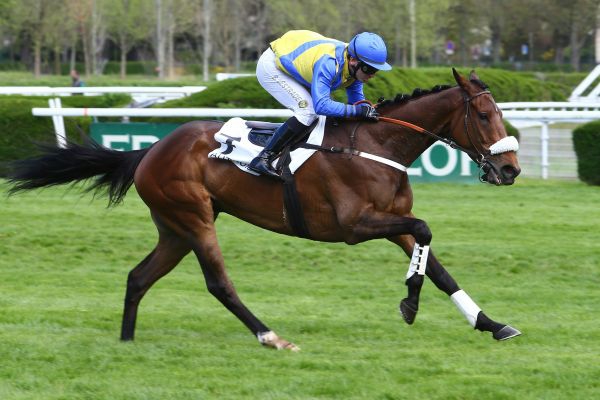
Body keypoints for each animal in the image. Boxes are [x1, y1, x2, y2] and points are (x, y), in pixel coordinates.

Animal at [5, 69, 520, 350]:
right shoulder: (356, 225)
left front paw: (491, 324)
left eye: (500, 113)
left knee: (138, 277)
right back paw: (271, 337)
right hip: (193, 218)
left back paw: (127, 342)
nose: (511, 169)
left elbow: (438, 267)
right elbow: (425, 233)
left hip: (175, 228)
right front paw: (409, 304)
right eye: (483, 115)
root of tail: (149, 150)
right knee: (219, 284)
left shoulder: (392, 224)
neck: (377, 145)